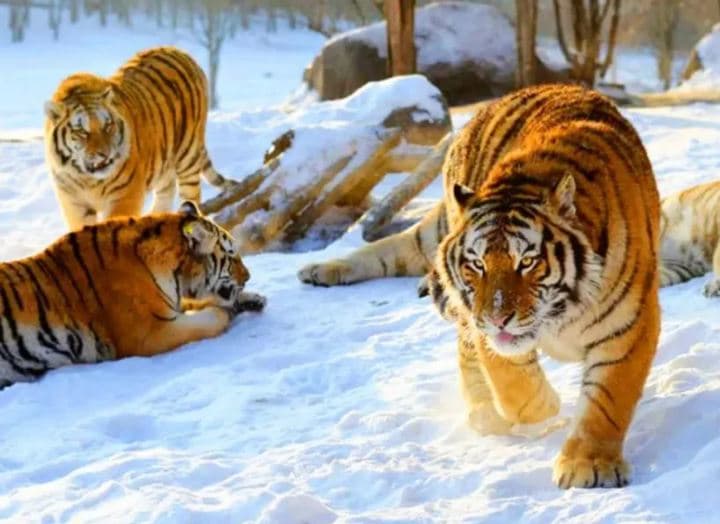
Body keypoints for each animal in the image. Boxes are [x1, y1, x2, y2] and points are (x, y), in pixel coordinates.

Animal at [0, 201, 265, 388]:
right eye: (231, 255)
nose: (248, 276)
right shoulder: (151, 333)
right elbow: (211, 318)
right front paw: (226, 311)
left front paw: (253, 299)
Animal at [44, 46, 230, 231]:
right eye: (82, 131)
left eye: (107, 126)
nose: (105, 154)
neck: (87, 179)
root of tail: (179, 50)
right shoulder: (74, 204)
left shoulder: (123, 197)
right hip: (163, 163)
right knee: (167, 190)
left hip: (188, 156)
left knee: (192, 196)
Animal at [299, 84, 661, 489]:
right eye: (477, 264)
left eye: (527, 262)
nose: (498, 317)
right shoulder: (485, 326)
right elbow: (512, 381)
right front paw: (544, 407)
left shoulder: (628, 326)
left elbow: (607, 402)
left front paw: (590, 464)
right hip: (441, 234)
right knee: (397, 250)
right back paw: (318, 269)